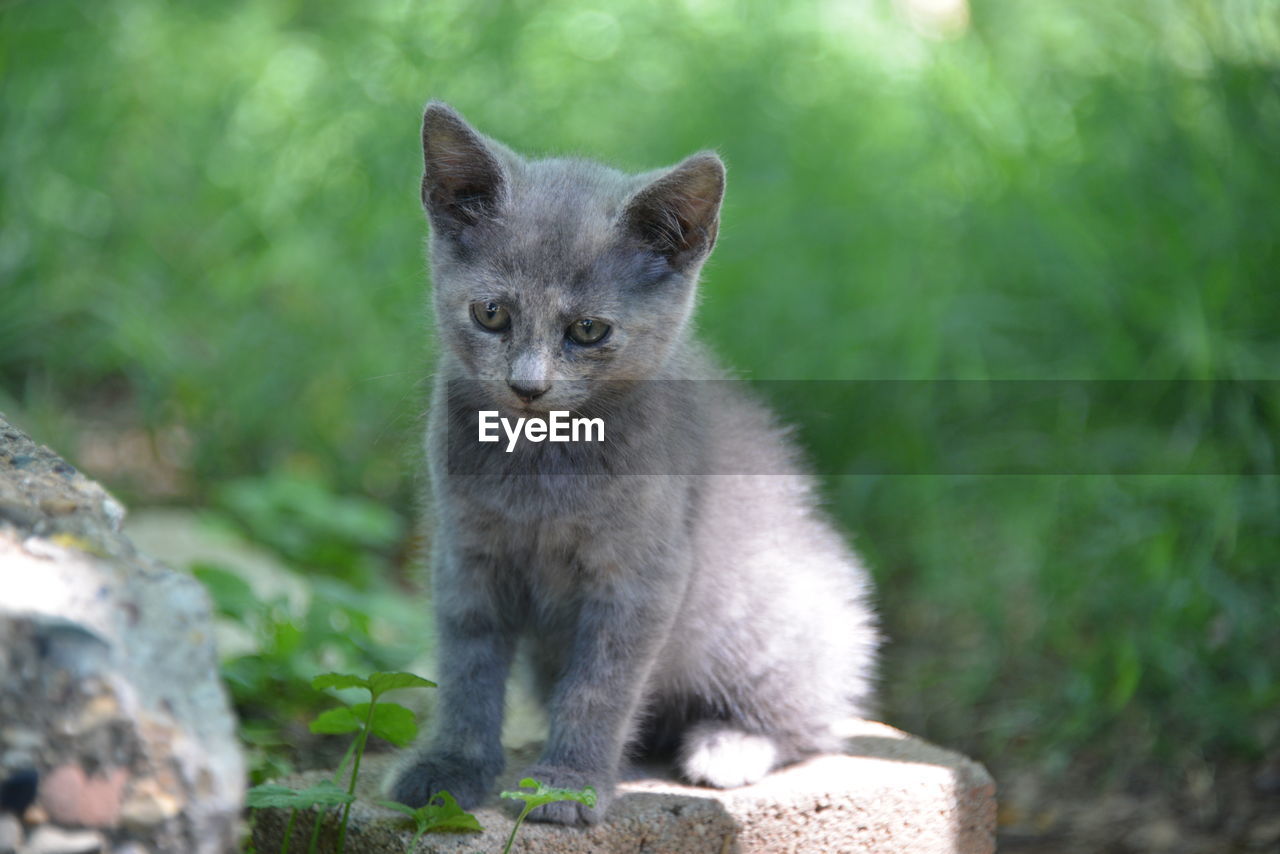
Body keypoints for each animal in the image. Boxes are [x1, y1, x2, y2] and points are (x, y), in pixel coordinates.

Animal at [381, 101, 880, 829]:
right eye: (492, 313)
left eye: (589, 331)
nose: (528, 385)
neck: (544, 461)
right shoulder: (465, 555)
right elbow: (467, 667)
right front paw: (451, 767)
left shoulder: (644, 574)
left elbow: (601, 684)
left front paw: (565, 784)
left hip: (776, 615)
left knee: (811, 722)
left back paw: (726, 745)